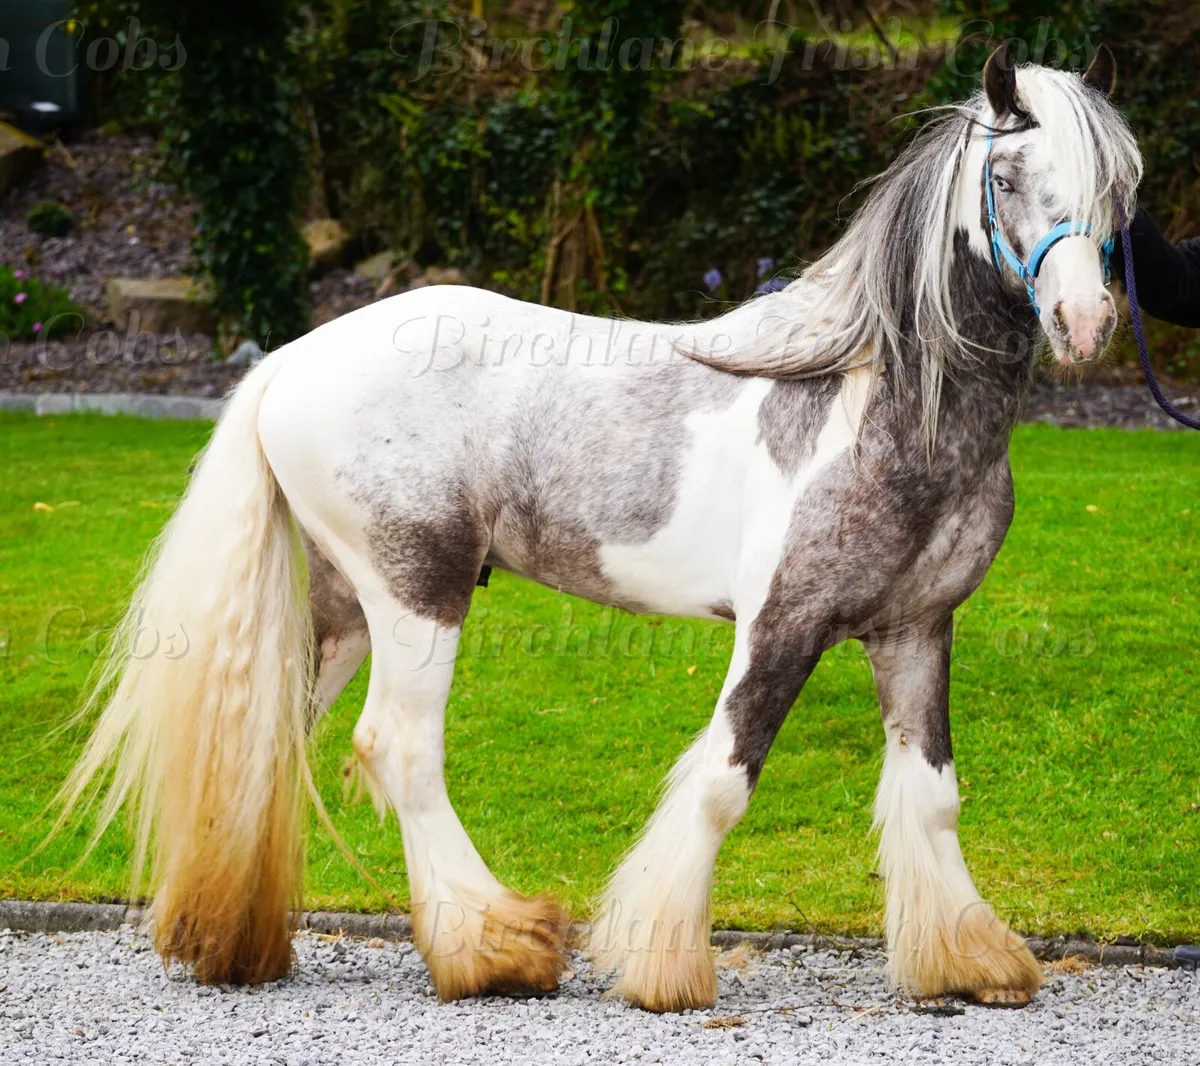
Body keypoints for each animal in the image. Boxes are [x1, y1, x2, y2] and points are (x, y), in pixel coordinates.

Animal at [61, 44, 1141, 1012]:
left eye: (1121, 184)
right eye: (1006, 176)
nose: (1086, 321)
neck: (877, 402)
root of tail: (291, 358)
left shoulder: (915, 629)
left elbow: (930, 792)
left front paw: (968, 960)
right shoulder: (783, 625)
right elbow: (722, 781)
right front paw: (661, 966)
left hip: (345, 609)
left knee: (274, 745)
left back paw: (232, 942)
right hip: (417, 592)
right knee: (397, 747)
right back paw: (494, 948)